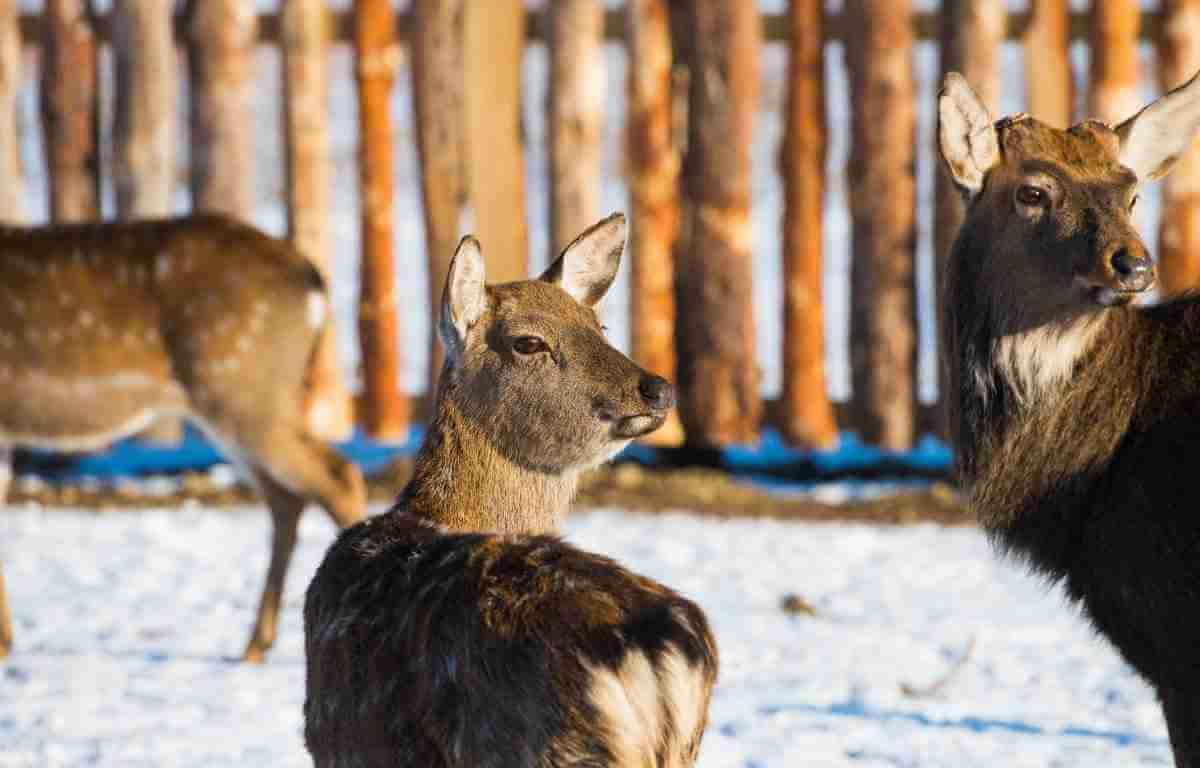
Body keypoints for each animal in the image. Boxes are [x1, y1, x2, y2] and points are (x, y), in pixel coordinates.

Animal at [0, 213, 366, 663]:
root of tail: (313, 281)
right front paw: (5, 641)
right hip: (248, 399)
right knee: (287, 499)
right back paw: (255, 644)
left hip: (240, 388)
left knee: (336, 475)